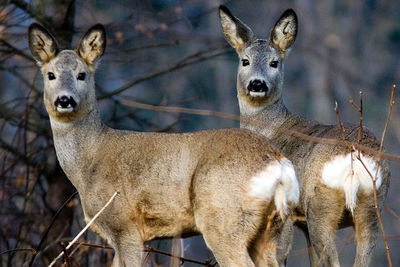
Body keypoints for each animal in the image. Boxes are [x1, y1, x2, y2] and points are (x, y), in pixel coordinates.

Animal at [28, 22, 300, 267]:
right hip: (275, 232)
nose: (64, 100)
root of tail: (278, 165)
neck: (89, 160)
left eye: (81, 75)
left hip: (224, 218)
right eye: (50, 75)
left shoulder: (124, 225)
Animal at [219, 4, 390, 267]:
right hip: (372, 207)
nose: (257, 84)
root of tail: (354, 158)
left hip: (320, 207)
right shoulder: (303, 224)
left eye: (274, 63)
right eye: (245, 61)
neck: (272, 128)